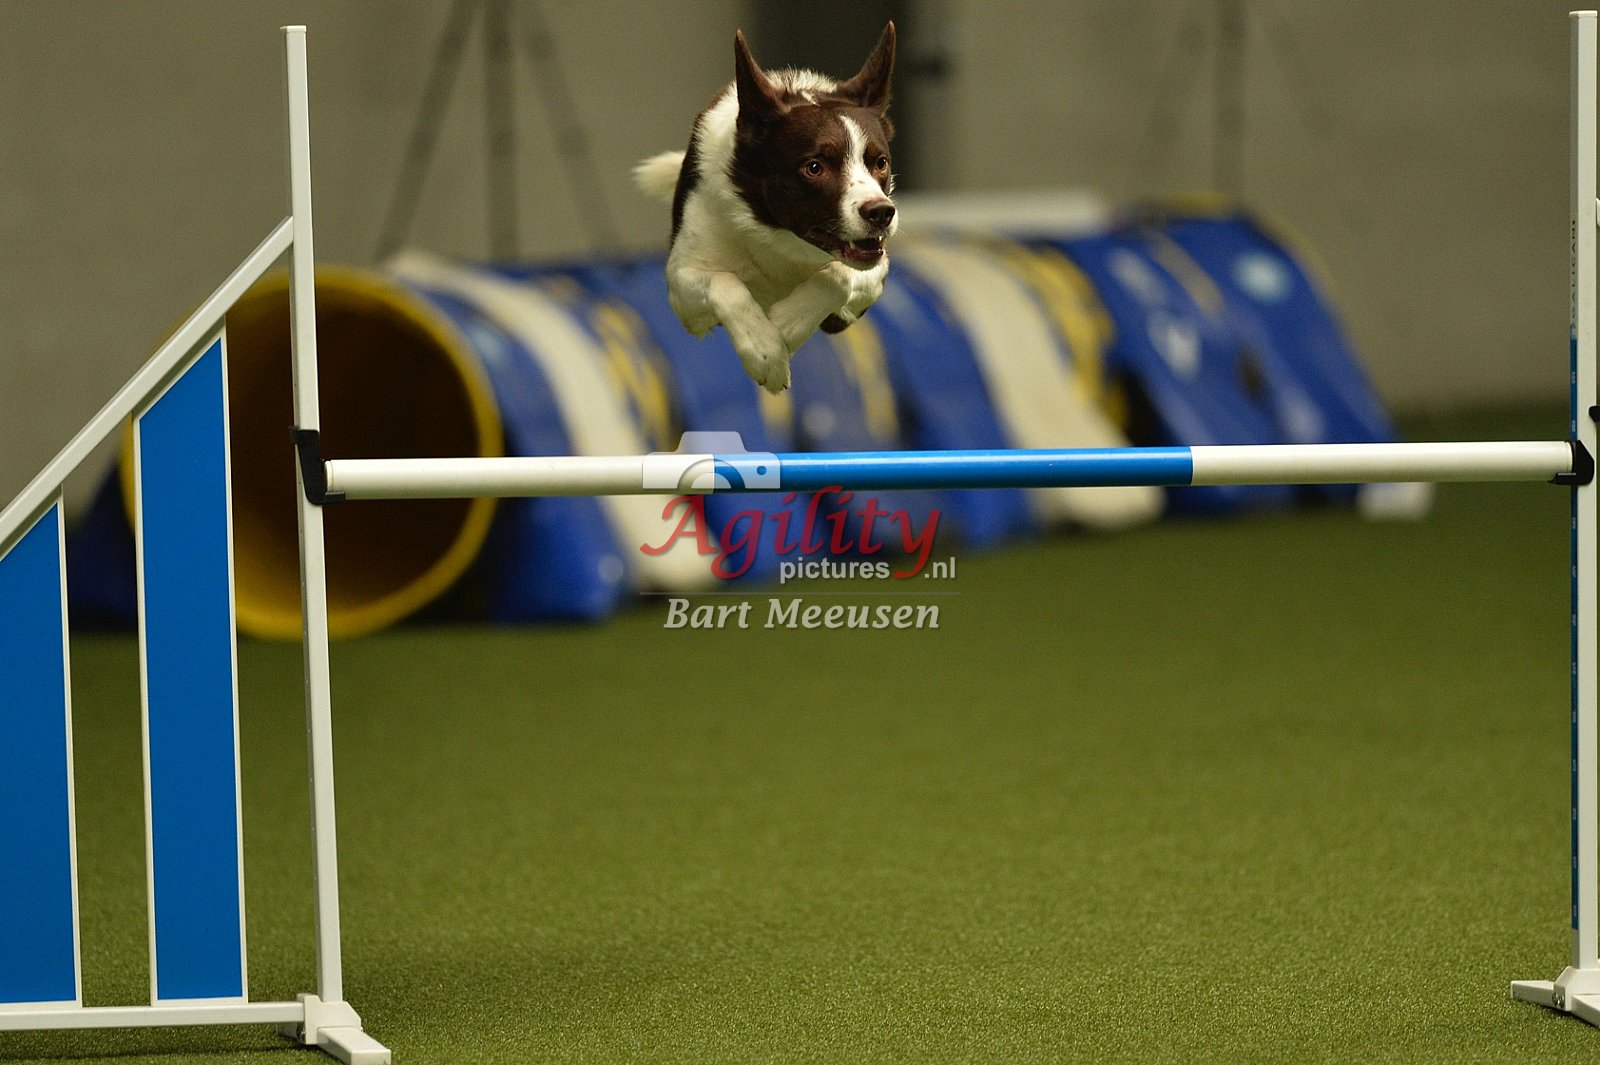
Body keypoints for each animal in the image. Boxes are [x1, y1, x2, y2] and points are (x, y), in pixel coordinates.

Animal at [633, 23, 898, 393]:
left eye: (880, 162)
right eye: (814, 167)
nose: (881, 213)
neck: (781, 236)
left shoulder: (874, 273)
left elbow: (837, 274)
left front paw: (785, 324)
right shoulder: (682, 288)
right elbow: (725, 283)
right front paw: (764, 351)